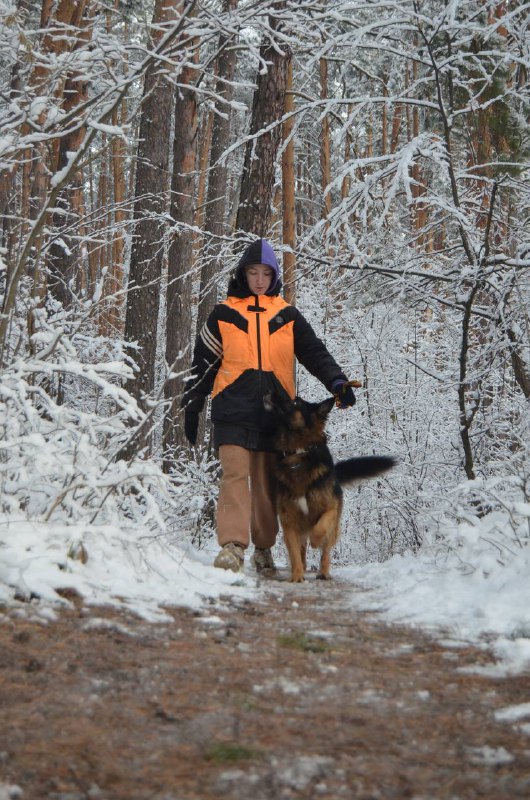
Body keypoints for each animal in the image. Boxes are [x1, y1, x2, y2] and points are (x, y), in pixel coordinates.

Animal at [264, 392, 392, 580]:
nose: (269, 392)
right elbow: (294, 552)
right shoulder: (289, 521)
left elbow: (320, 527)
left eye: (295, 402)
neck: (299, 452)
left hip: (334, 526)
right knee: (301, 550)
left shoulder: (330, 509)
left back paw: (323, 572)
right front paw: (296, 576)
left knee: (326, 551)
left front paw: (315, 541)